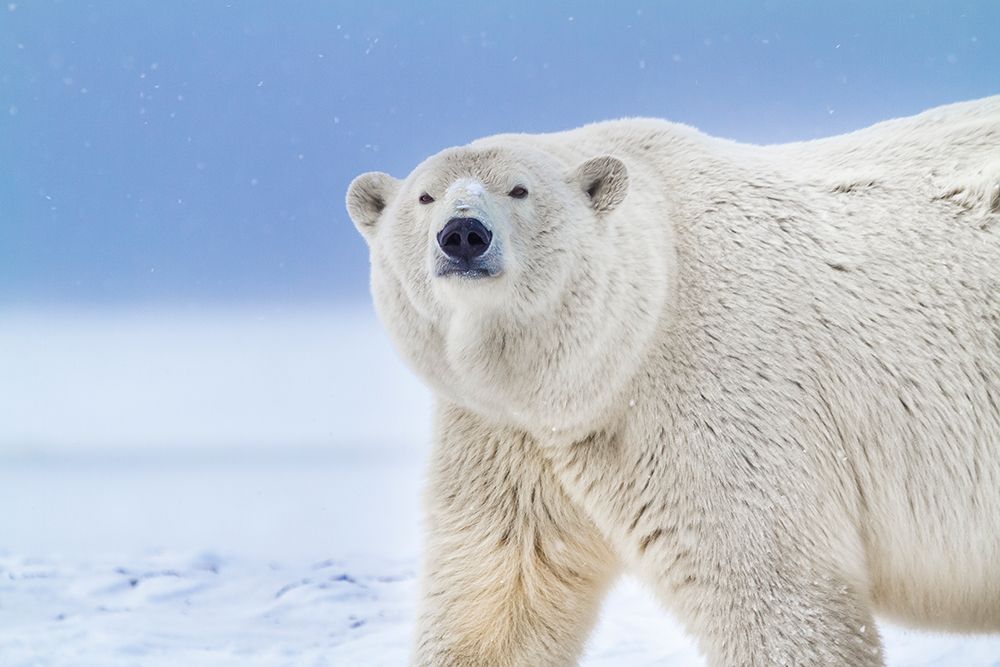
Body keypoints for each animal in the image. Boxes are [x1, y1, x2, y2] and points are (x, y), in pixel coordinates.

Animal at [346, 96, 1000, 666]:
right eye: (425, 196)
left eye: (519, 189)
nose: (463, 234)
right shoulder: (506, 432)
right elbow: (496, 589)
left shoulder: (717, 398)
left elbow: (774, 590)